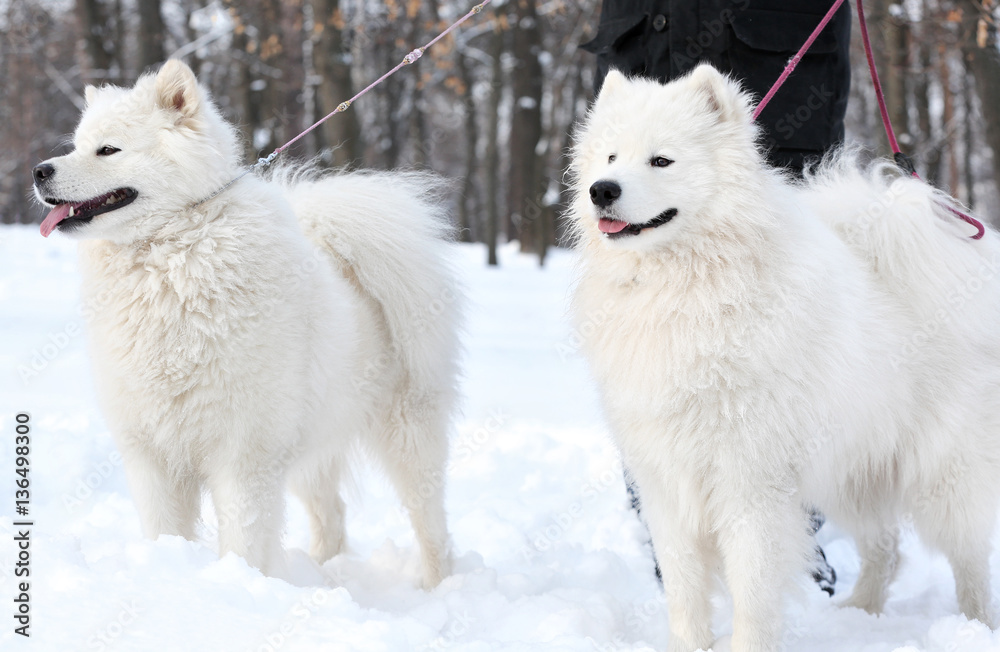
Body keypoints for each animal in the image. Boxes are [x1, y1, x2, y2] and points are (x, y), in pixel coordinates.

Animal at [31, 58, 460, 584]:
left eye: (108, 149)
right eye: (75, 144)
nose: (39, 171)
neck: (168, 258)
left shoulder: (244, 454)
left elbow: (244, 538)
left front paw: (239, 581)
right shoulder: (151, 452)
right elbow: (163, 531)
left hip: (407, 436)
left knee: (430, 521)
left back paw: (438, 584)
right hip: (312, 444)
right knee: (332, 514)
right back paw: (321, 572)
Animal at [572, 63, 1000, 648]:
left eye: (661, 160)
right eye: (611, 158)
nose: (602, 190)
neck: (682, 288)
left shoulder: (750, 481)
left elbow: (753, 593)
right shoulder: (666, 480)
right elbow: (684, 590)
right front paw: (689, 644)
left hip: (942, 474)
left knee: (968, 557)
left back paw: (974, 626)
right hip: (857, 469)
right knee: (886, 548)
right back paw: (860, 614)